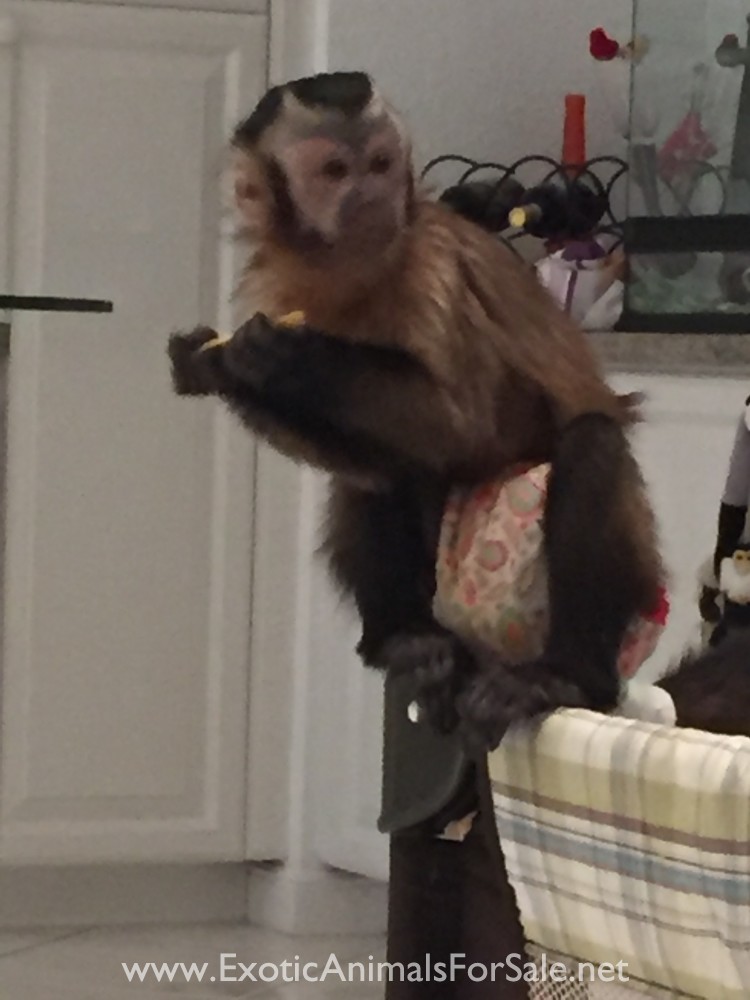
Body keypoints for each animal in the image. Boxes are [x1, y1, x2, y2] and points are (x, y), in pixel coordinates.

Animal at [167, 71, 664, 750]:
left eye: (380, 164)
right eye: (335, 170)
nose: (371, 195)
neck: (348, 270)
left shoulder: (429, 265)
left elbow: (461, 419)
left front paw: (284, 354)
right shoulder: (278, 285)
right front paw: (213, 365)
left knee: (592, 444)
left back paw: (564, 676)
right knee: (374, 471)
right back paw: (405, 641)